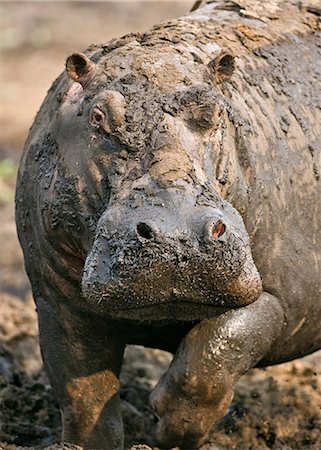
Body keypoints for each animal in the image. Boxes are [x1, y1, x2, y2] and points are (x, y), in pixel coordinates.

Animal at [15, 0, 320, 448]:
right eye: (98, 116)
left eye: (216, 111)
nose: (179, 238)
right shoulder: (56, 300)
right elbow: (82, 391)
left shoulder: (286, 298)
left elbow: (218, 350)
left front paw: (164, 424)